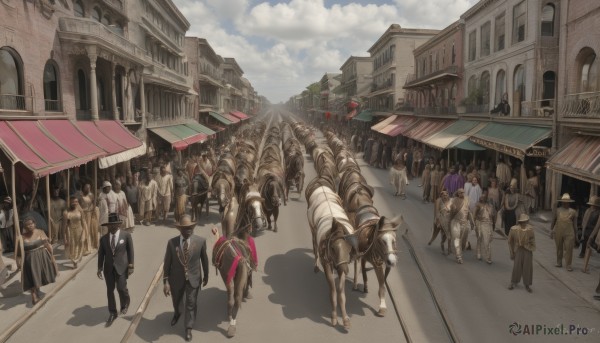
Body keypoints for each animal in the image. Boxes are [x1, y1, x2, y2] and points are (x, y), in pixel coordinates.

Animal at [310, 185, 356, 330]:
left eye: (349, 249)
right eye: (334, 249)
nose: (347, 270)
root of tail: (321, 187)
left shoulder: (342, 264)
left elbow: (341, 292)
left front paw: (345, 319)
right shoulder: (327, 264)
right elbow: (333, 290)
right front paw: (334, 317)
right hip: (312, 230)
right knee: (314, 247)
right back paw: (315, 266)